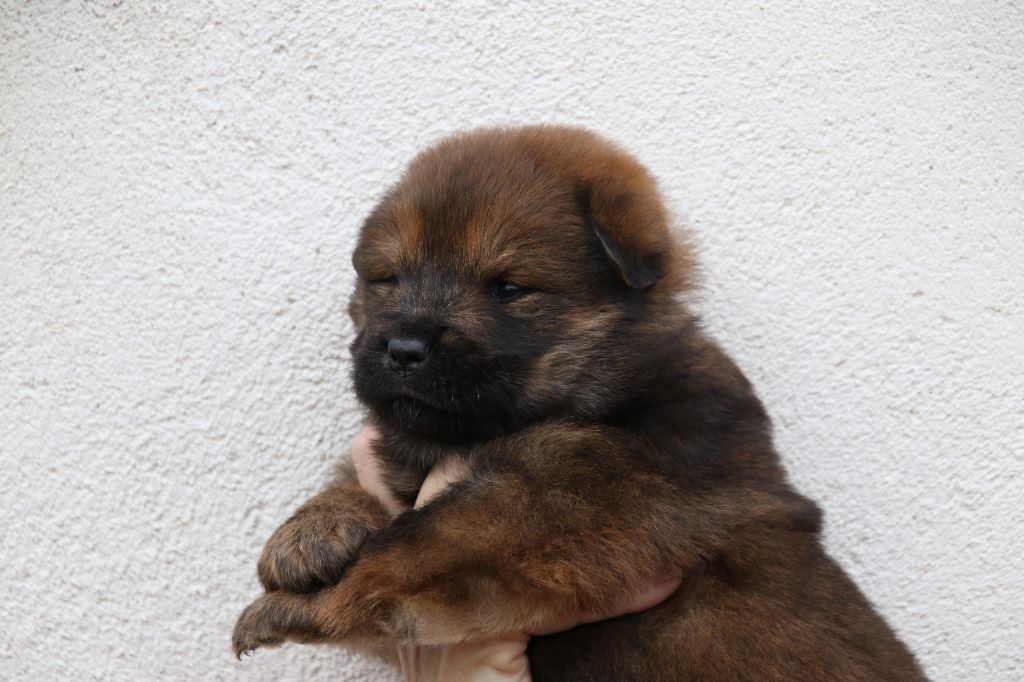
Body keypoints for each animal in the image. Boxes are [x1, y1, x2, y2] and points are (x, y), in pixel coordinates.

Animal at [233, 125, 927, 681]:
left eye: (508, 288)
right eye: (388, 279)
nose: (402, 347)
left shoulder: (559, 504)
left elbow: (411, 548)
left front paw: (302, 606)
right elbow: (375, 490)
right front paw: (313, 529)